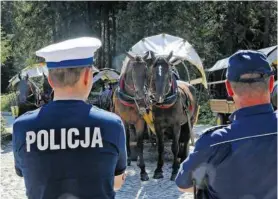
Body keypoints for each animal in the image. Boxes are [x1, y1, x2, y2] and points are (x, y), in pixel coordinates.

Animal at [112, 52, 152, 181]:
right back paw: (129, 158)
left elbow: (140, 144)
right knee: (128, 136)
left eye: (146, 69)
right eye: (133, 71)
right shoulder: (123, 119)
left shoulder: (140, 121)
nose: (141, 95)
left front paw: (143, 170)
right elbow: (126, 138)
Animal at [148, 51, 198, 180]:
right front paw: (158, 169)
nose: (158, 97)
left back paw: (183, 160)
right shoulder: (158, 126)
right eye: (152, 72)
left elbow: (175, 147)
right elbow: (160, 147)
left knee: (185, 139)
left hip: (189, 121)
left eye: (168, 73)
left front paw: (175, 170)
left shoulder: (176, 125)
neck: (165, 104)